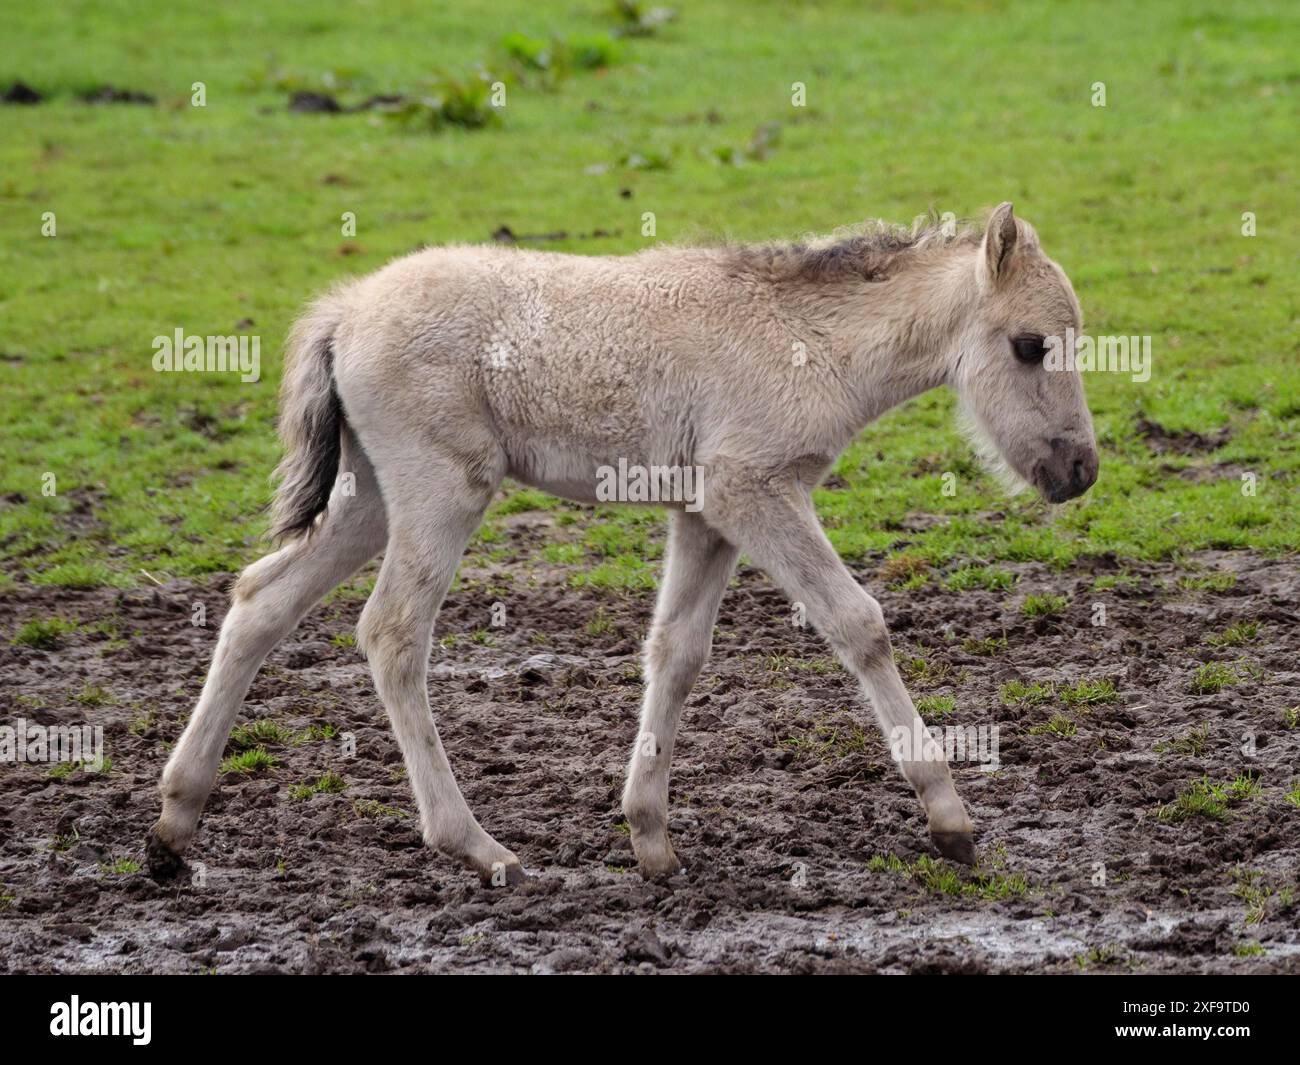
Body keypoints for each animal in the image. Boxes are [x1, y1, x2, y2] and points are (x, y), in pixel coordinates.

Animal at [149, 204, 1097, 889]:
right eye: (1028, 345)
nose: (1080, 469)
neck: (806, 338)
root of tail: (345, 311)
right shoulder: (754, 491)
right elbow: (857, 623)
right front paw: (950, 820)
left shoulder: (705, 514)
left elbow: (676, 652)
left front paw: (650, 839)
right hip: (439, 491)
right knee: (390, 632)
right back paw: (475, 844)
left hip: (369, 498)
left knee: (260, 601)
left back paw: (174, 823)